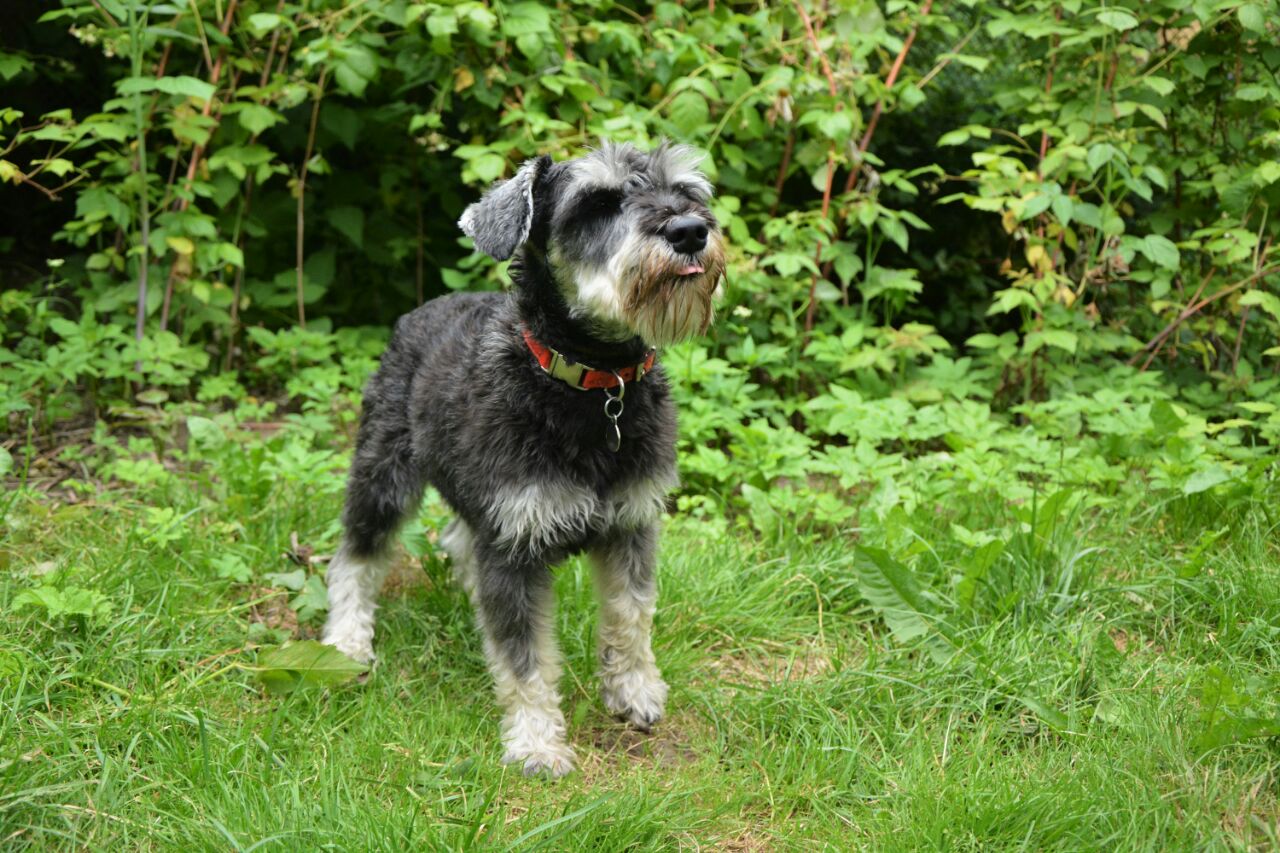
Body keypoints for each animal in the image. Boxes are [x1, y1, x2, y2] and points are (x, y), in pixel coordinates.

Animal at [321, 141, 725, 777]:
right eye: (598, 202)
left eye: (686, 191)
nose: (690, 231)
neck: (593, 386)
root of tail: (422, 309)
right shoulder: (514, 548)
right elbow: (525, 657)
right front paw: (536, 742)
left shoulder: (631, 526)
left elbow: (631, 616)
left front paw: (633, 691)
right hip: (383, 476)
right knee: (355, 557)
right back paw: (346, 641)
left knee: (457, 539)